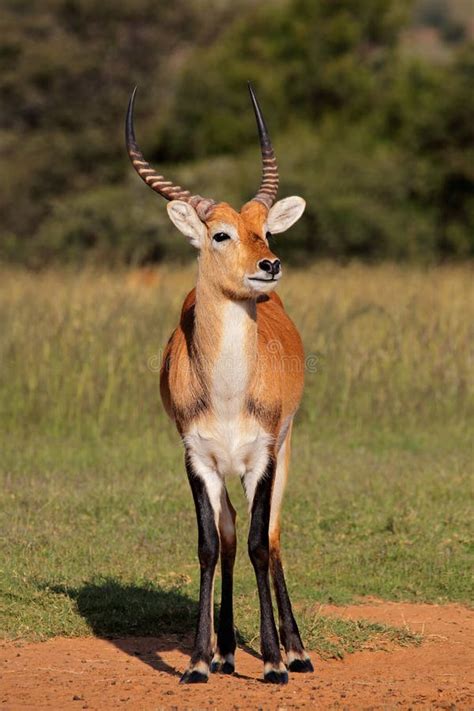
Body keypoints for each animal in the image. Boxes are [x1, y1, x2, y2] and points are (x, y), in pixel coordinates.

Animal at [124, 82, 312, 684]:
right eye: (220, 233)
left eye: (266, 228)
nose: (269, 265)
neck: (228, 395)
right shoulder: (197, 457)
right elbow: (210, 544)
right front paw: (197, 662)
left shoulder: (264, 456)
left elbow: (258, 543)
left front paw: (273, 662)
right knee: (229, 534)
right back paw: (226, 651)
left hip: (287, 447)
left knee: (269, 535)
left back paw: (297, 653)